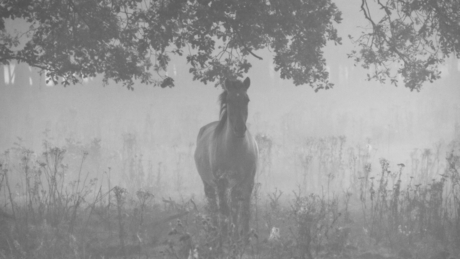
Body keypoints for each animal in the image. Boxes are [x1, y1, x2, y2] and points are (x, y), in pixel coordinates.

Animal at [194, 76, 258, 242]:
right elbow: (224, 211)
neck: (235, 151)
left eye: (247, 99)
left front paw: (244, 241)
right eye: (229, 100)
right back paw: (216, 235)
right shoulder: (221, 182)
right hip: (209, 185)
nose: (240, 129)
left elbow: (243, 212)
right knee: (214, 209)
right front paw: (225, 239)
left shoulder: (247, 182)